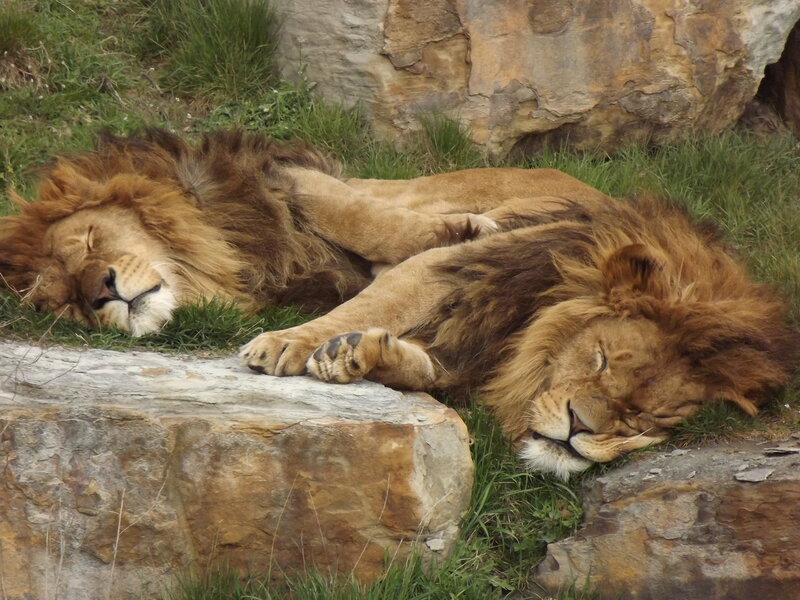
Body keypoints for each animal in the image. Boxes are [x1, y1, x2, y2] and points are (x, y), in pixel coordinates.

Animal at [241, 194, 800, 479]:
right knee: (381, 217)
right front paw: (289, 342)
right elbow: (373, 303)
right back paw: (290, 182)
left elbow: (420, 365)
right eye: (600, 359)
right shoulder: (460, 271)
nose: (578, 430)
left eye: (649, 414)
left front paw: (355, 355)